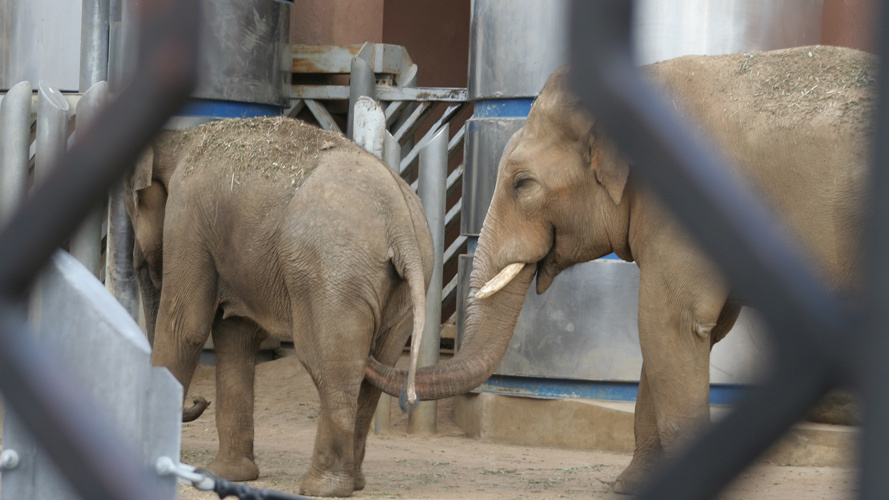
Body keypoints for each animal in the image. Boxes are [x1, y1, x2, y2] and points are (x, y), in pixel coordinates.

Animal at [124, 116, 433, 497]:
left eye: (131, 208)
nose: (198, 401)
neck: (179, 137)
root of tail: (399, 222)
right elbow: (235, 334)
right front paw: (228, 475)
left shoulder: (188, 216)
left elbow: (186, 328)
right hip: (404, 285)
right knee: (375, 369)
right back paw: (353, 482)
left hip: (331, 274)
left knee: (329, 363)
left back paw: (322, 487)